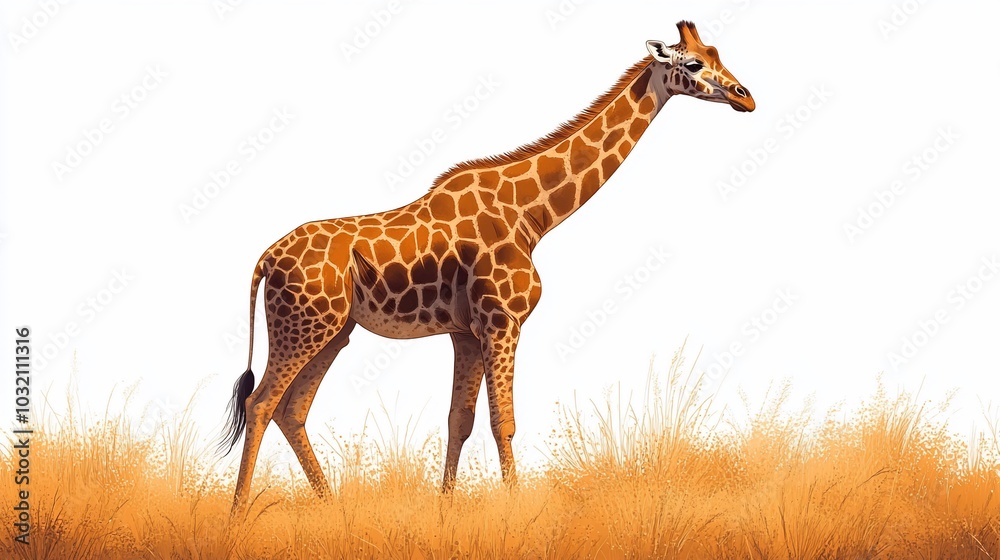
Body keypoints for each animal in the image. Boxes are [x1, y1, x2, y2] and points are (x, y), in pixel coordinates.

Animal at [220, 20, 754, 516]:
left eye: (717, 53)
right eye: (693, 64)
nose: (744, 97)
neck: (533, 215)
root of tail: (266, 258)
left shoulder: (466, 331)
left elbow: (461, 418)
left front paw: (445, 509)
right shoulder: (502, 321)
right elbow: (504, 422)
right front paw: (515, 509)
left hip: (334, 331)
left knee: (292, 410)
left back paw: (331, 507)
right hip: (304, 326)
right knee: (261, 403)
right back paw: (238, 514)